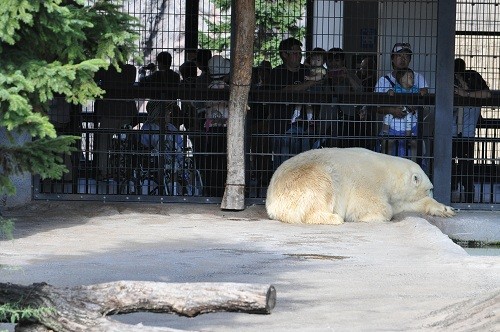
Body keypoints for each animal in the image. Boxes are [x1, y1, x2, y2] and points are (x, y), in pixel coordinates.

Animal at [268, 148, 456, 224]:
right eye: (430, 189)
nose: (432, 192)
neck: (389, 173)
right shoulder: (368, 183)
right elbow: (369, 206)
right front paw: (372, 216)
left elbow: (402, 205)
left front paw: (445, 209)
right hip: (307, 179)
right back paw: (334, 218)